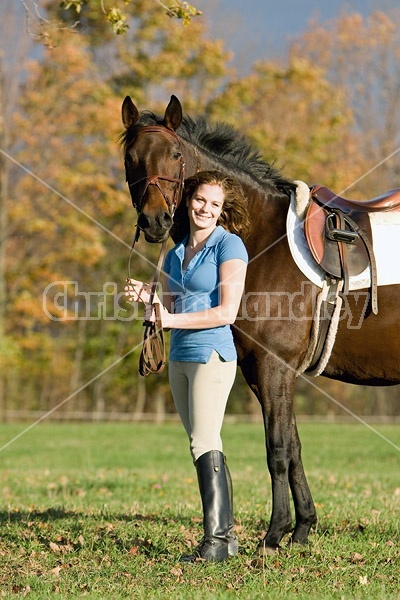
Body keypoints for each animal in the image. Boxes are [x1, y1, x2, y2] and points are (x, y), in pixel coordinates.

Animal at [119, 96, 400, 556]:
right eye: (130, 158)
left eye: (176, 155)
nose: (155, 220)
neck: (262, 238)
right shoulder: (263, 370)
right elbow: (295, 446)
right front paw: (302, 529)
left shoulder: (273, 367)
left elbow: (278, 449)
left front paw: (273, 534)